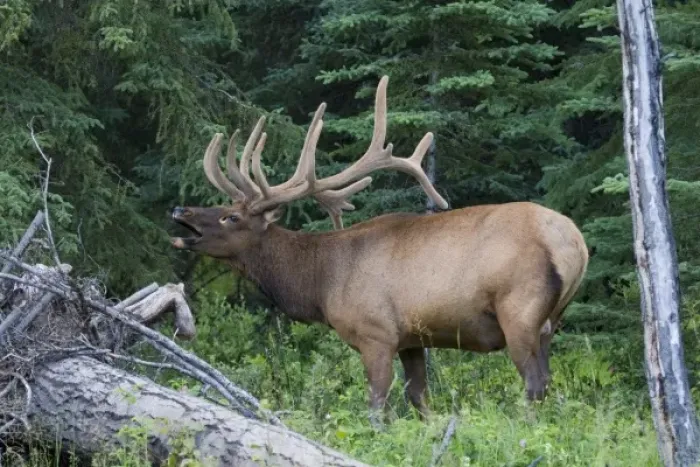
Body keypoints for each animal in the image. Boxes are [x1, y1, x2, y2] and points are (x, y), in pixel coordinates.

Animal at [170, 76, 589, 427]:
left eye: (230, 217)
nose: (180, 210)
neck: (321, 284)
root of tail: (575, 243)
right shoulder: (412, 339)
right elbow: (420, 399)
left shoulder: (376, 333)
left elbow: (376, 406)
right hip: (552, 319)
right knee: (549, 381)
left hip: (519, 308)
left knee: (534, 383)